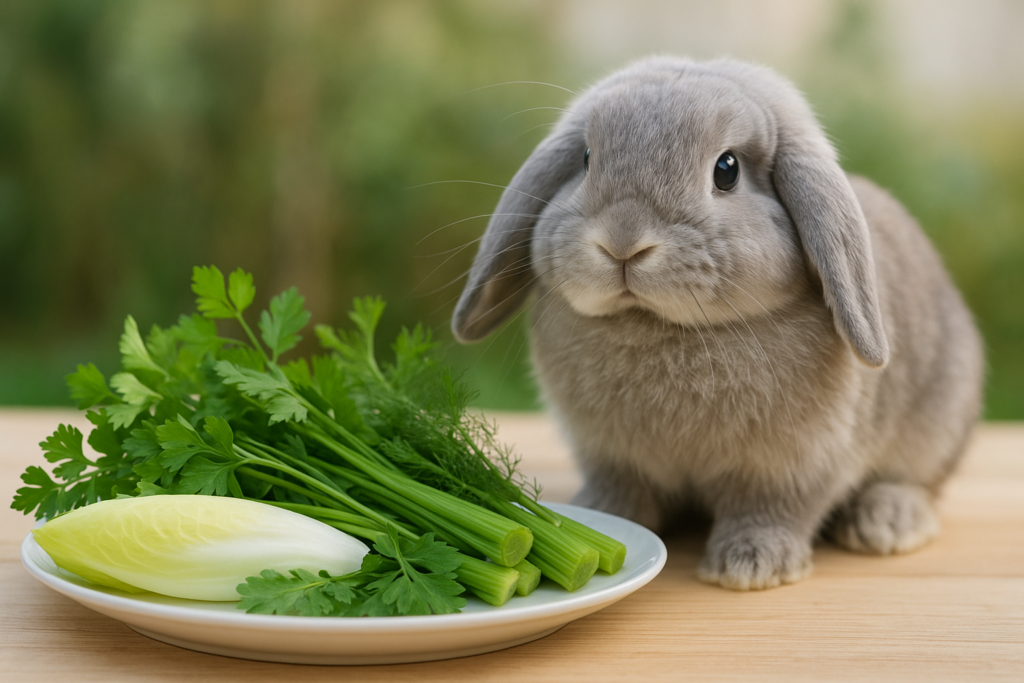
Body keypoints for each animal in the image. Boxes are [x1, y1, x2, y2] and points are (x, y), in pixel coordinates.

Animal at [451, 56, 984, 590]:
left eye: (726, 170)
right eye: (584, 158)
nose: (622, 240)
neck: (658, 327)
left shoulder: (793, 465)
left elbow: (771, 509)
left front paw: (751, 567)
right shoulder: (611, 457)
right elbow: (621, 494)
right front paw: (593, 520)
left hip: (938, 421)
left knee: (918, 481)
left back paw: (887, 522)